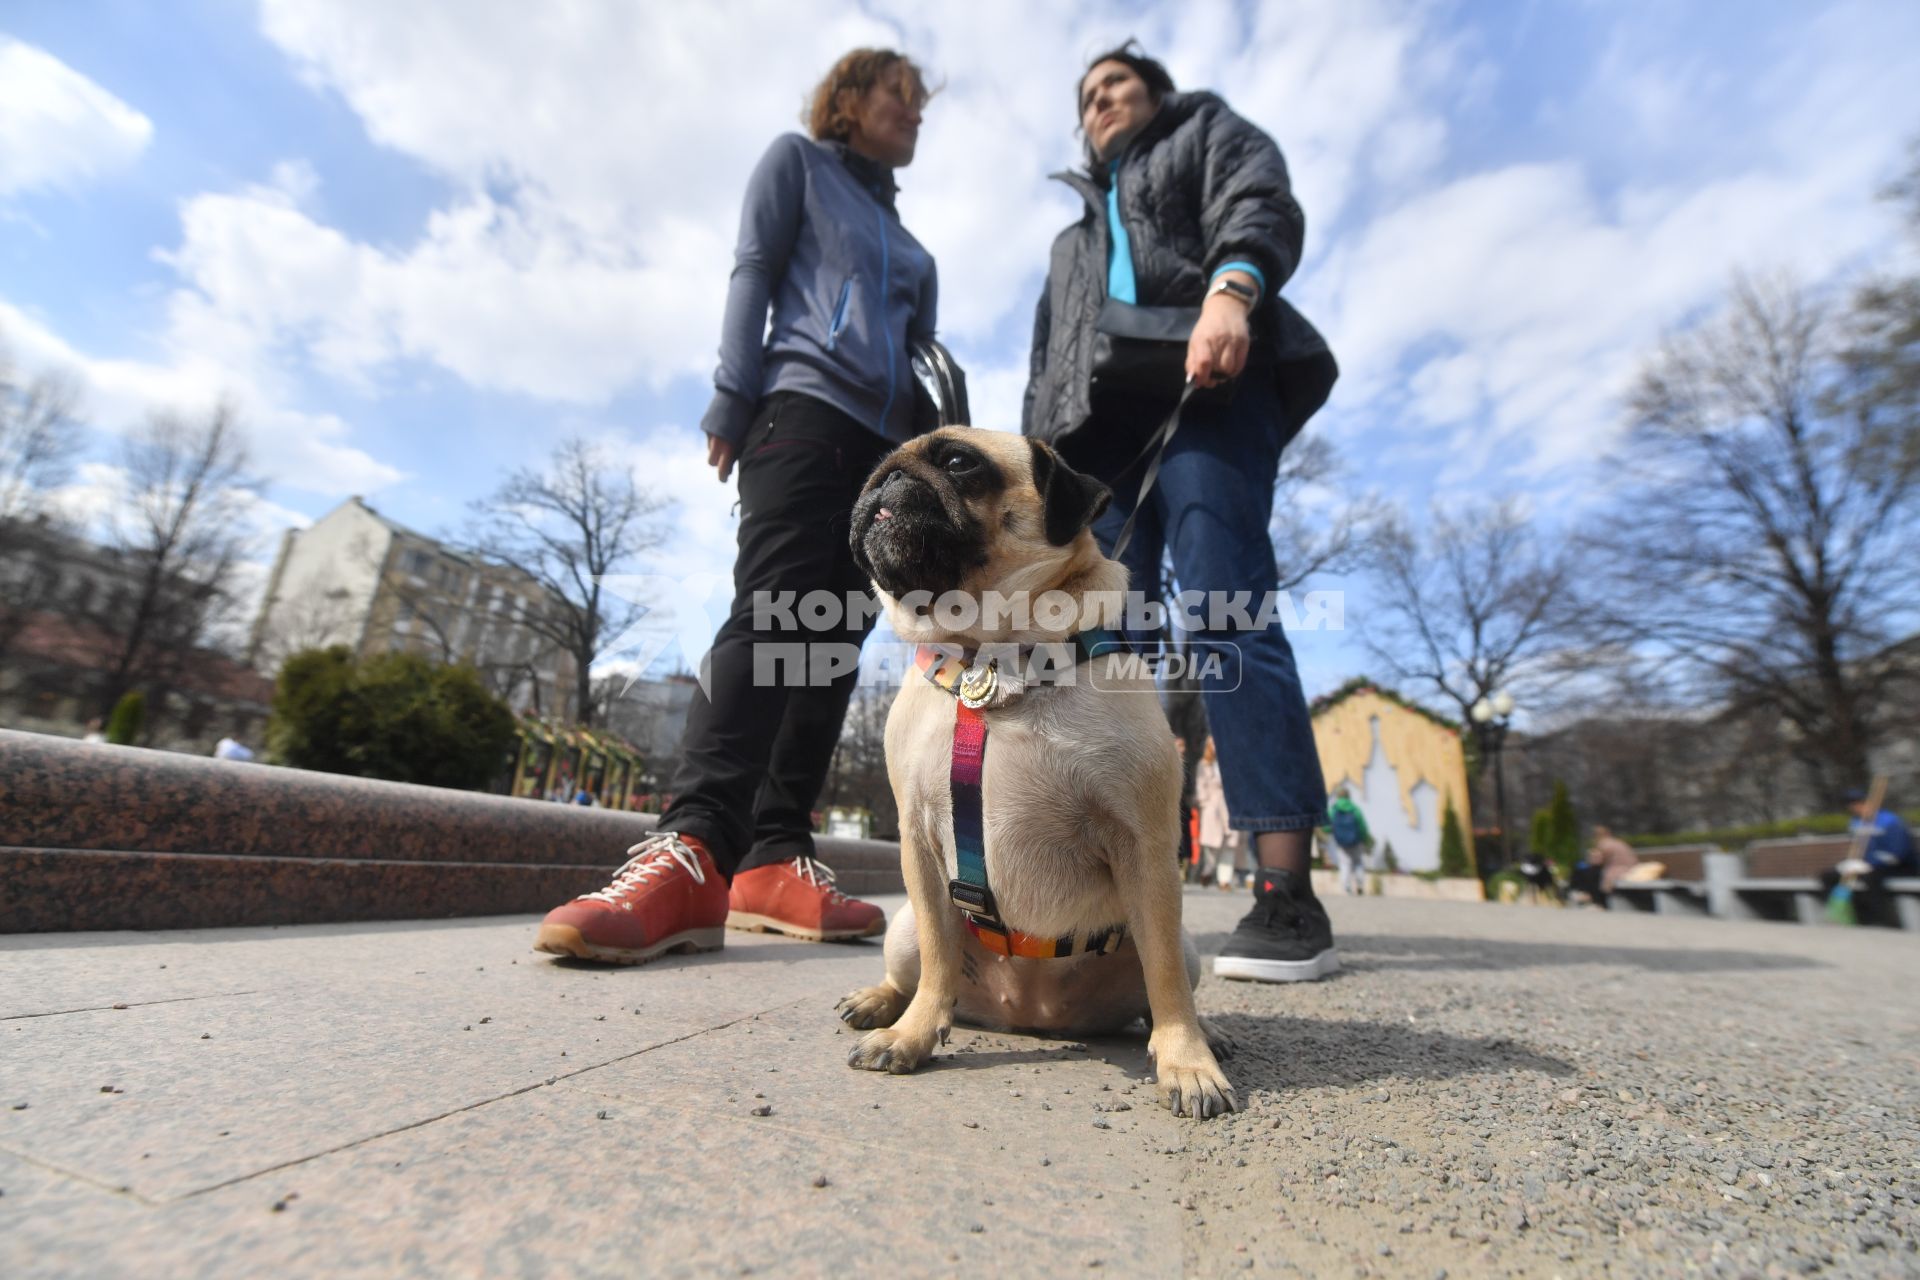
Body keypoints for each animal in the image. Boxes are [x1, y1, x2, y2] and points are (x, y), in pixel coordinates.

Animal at [837, 429, 1228, 1120]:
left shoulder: (1146, 848)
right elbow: (938, 956)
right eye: (877, 469)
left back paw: (1205, 1031)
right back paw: (881, 1004)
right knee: (918, 969)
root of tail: (1031, 1017)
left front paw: (1188, 1062)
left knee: (1167, 981)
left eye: (958, 462)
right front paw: (911, 1037)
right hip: (902, 926)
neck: (989, 655)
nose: (885, 478)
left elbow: (1165, 981)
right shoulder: (917, 844)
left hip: (1185, 944)